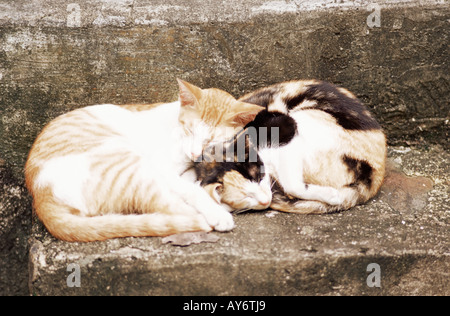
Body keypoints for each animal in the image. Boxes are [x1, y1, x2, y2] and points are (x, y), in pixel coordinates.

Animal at [24, 79, 264, 242]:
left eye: (210, 141)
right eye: (189, 131)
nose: (195, 154)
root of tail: (39, 196)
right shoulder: (162, 166)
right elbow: (190, 190)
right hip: (131, 166)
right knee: (169, 206)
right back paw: (216, 213)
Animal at [196, 80, 386, 214]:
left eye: (259, 177)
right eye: (247, 197)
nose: (265, 200)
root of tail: (375, 177)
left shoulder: (286, 130)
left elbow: (292, 185)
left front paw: (333, 196)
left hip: (305, 120)